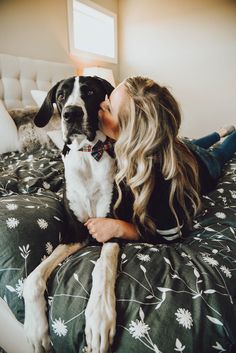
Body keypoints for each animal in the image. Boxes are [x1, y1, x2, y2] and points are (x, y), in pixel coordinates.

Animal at [22, 75, 120, 352]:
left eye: (90, 92)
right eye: (61, 96)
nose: (71, 113)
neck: (88, 156)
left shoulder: (111, 228)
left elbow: (102, 267)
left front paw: (99, 318)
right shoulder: (74, 235)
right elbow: (32, 279)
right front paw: (35, 329)